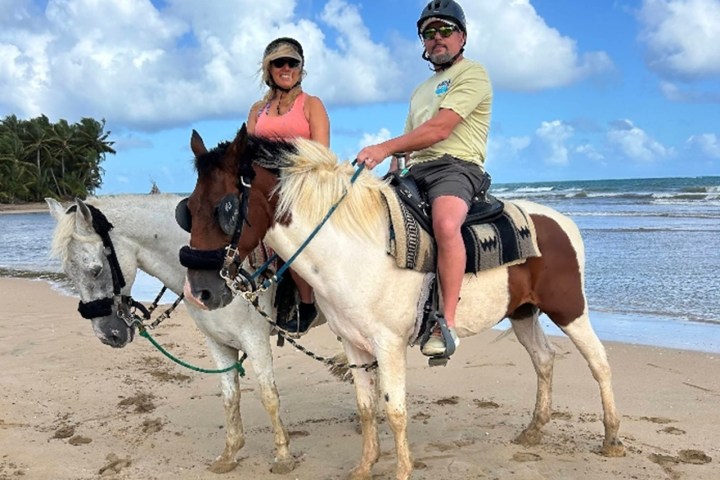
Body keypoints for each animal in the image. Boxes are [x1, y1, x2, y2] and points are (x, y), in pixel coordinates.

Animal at [46, 194, 296, 474]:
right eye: (69, 273)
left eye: (96, 270)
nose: (107, 335)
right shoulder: (218, 342)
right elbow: (230, 397)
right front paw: (229, 455)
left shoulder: (255, 339)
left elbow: (269, 396)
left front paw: (283, 457)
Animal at [179, 127, 625, 480]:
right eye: (188, 209)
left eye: (226, 207)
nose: (200, 292)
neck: (352, 251)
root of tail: (561, 222)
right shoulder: (353, 343)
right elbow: (365, 406)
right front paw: (364, 467)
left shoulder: (389, 345)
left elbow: (394, 411)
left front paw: (401, 471)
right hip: (522, 312)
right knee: (544, 359)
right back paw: (534, 429)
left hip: (569, 309)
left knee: (600, 363)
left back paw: (611, 438)